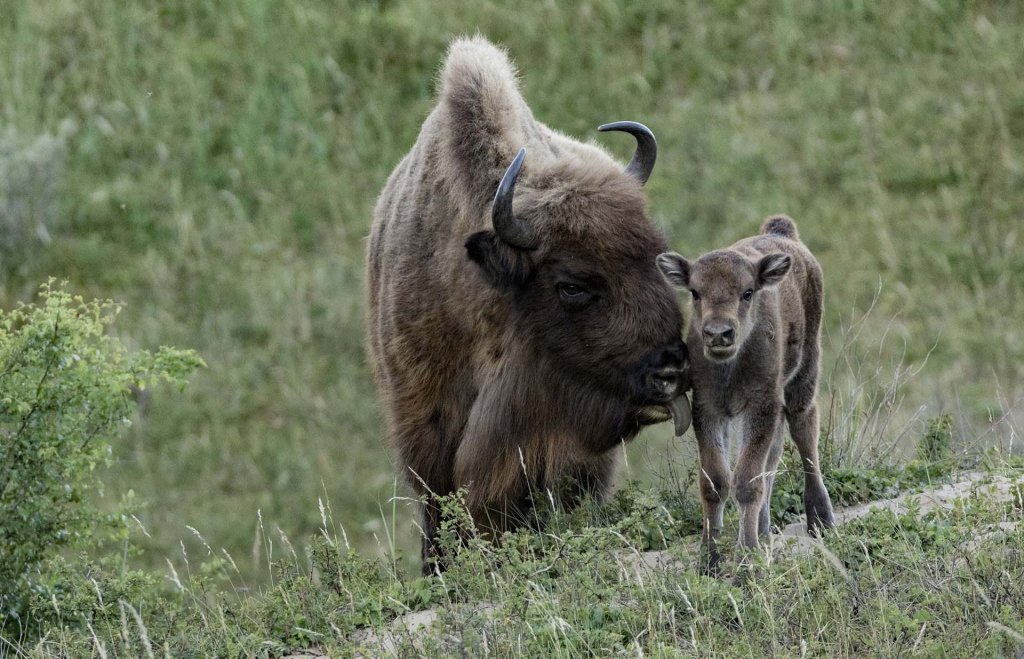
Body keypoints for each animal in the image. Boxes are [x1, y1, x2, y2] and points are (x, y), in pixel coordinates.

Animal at [655, 215, 831, 564]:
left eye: (747, 292)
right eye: (695, 292)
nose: (718, 333)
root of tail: (782, 233)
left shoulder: (760, 406)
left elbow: (747, 480)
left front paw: (747, 557)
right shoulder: (708, 409)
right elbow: (715, 481)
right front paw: (709, 559)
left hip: (804, 375)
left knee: (804, 432)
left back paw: (820, 520)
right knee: (774, 458)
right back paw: (763, 530)